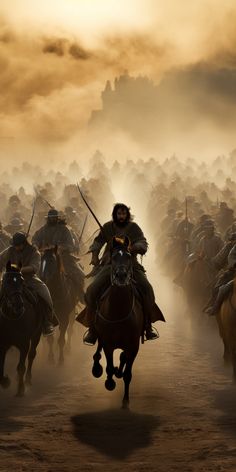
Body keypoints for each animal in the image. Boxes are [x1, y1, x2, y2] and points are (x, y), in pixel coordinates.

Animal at [0, 264, 42, 396]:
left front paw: (21, 389)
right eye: (7, 281)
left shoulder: (24, 344)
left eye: (22, 281)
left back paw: (27, 380)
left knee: (32, 355)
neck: (12, 319)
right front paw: (5, 382)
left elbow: (21, 367)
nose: (18, 305)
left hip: (36, 335)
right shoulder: (3, 344)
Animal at [92, 238, 146, 408]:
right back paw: (97, 368)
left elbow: (127, 374)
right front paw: (110, 382)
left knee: (123, 358)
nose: (121, 275)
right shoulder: (108, 344)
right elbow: (109, 367)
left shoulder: (133, 347)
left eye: (129, 256)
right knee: (98, 350)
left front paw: (125, 401)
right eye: (114, 257)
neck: (119, 311)